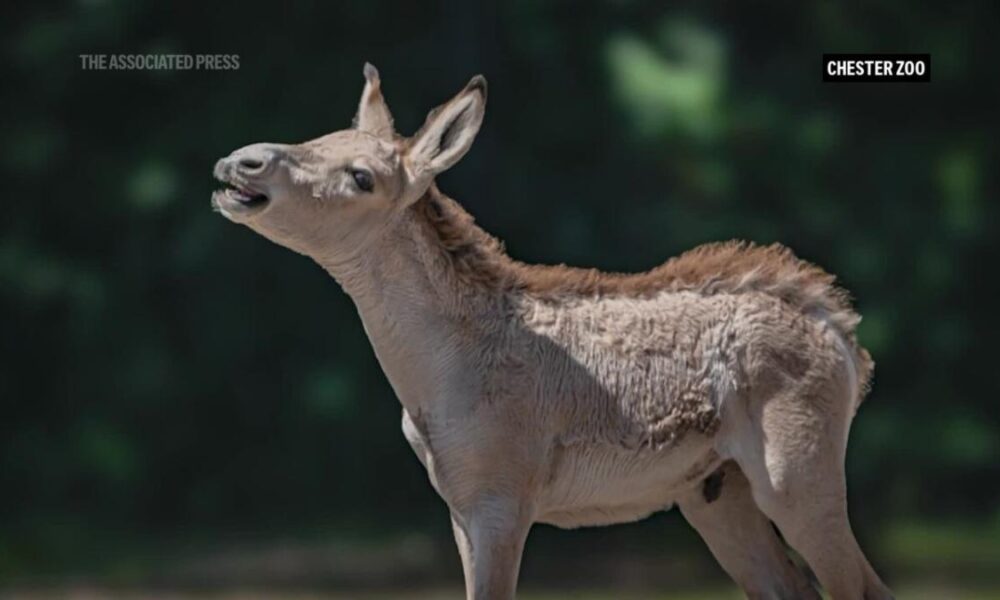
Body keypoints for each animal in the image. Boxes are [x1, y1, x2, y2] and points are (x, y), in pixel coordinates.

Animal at [211, 65, 892, 600]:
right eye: (319, 136)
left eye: (361, 176)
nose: (240, 161)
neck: (429, 379)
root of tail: (847, 340)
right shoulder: (459, 504)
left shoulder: (501, 498)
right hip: (717, 492)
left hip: (797, 473)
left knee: (864, 587)